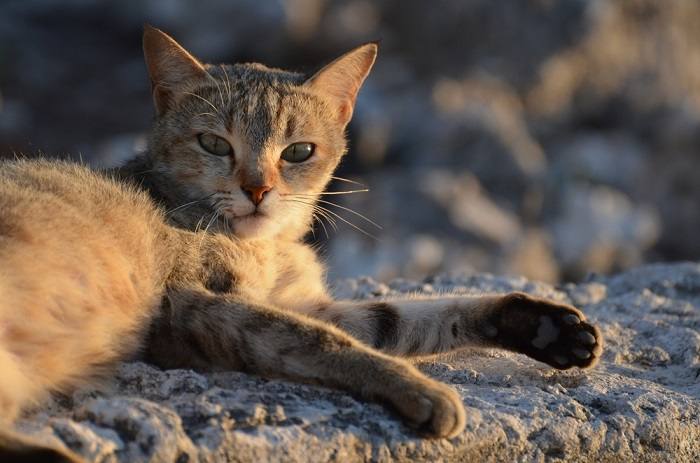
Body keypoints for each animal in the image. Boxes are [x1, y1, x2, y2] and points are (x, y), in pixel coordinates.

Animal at [0, 26, 600, 463]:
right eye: (214, 143)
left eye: (298, 151)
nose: (257, 189)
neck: (267, 248)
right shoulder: (190, 306)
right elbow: (322, 341)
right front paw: (424, 392)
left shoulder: (309, 303)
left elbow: (408, 318)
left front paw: (547, 326)